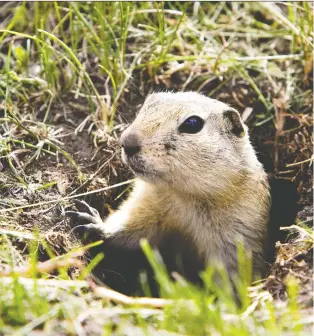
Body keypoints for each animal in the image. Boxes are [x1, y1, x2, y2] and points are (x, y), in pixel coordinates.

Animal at [68, 91, 280, 294]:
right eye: (150, 102)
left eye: (193, 123)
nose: (127, 142)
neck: (182, 196)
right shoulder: (147, 203)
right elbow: (130, 228)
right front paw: (90, 221)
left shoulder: (238, 232)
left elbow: (232, 275)